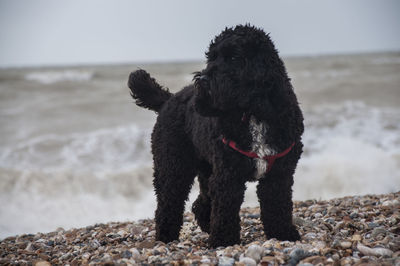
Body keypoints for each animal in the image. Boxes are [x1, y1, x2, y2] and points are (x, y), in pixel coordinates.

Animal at [128, 25, 304, 247]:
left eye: (234, 57)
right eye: (211, 57)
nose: (202, 80)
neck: (253, 112)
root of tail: (169, 99)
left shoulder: (278, 175)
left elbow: (277, 207)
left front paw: (283, 234)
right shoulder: (228, 175)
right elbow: (225, 210)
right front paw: (223, 240)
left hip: (206, 169)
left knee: (201, 203)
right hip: (173, 167)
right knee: (169, 203)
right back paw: (166, 237)